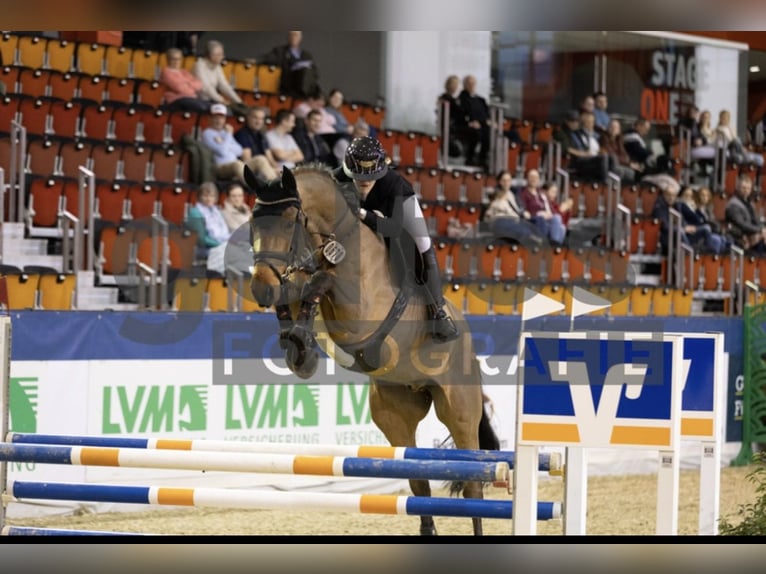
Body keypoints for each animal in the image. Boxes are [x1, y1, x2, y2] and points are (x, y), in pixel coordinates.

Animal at [244, 164, 500, 536]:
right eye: (253, 222)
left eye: (291, 221)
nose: (261, 287)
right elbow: (298, 289)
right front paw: (299, 349)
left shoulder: (361, 311)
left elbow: (322, 281)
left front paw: (302, 342)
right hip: (393, 412)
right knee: (418, 482)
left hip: (459, 410)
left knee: (473, 485)